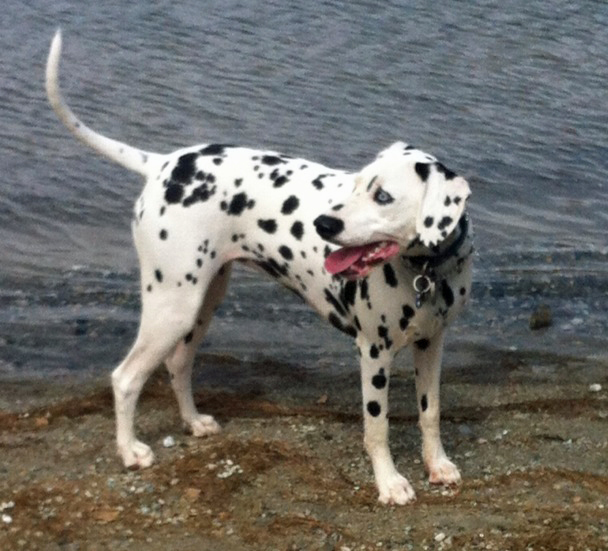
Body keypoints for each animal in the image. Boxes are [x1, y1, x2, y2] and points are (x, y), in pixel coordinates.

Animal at [47, 30, 476, 504]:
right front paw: (389, 482)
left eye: (383, 196)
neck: (428, 272)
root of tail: (165, 165)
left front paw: (437, 465)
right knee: (125, 379)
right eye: (359, 183)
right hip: (172, 309)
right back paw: (130, 451)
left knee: (177, 365)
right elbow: (377, 427)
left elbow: (430, 413)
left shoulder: (431, 345)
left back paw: (193, 422)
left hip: (199, 307)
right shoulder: (373, 353)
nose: (323, 224)